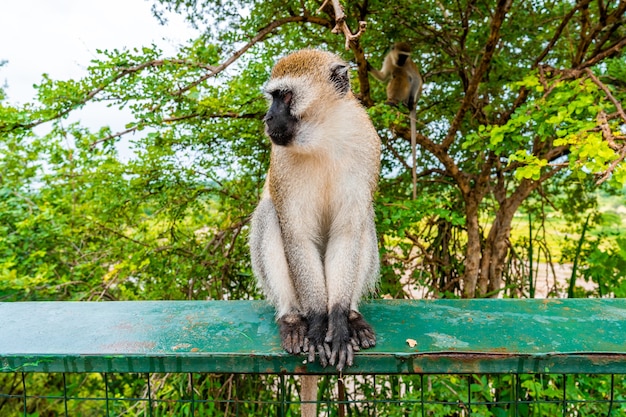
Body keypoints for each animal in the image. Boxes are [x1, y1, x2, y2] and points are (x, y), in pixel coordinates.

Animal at [366, 43, 420, 199]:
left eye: (405, 56)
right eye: (400, 55)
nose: (401, 62)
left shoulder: (409, 64)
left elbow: (417, 79)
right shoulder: (389, 60)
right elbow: (384, 77)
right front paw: (367, 65)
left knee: (405, 77)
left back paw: (401, 103)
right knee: (395, 76)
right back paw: (391, 101)